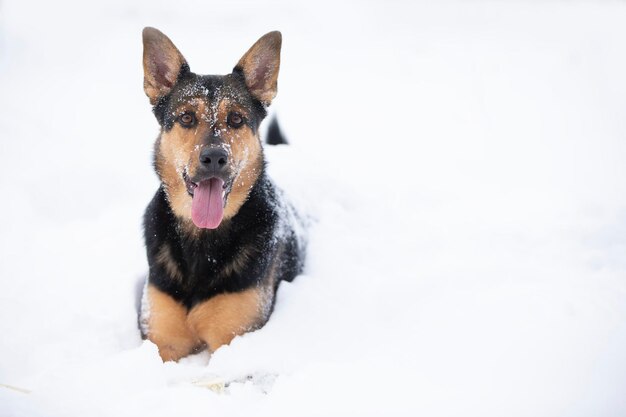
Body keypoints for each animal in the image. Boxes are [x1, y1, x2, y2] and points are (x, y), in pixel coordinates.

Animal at [138, 28, 304, 360]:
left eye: (236, 119)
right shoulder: (162, 341)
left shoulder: (232, 339)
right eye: (187, 118)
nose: (215, 157)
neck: (202, 238)